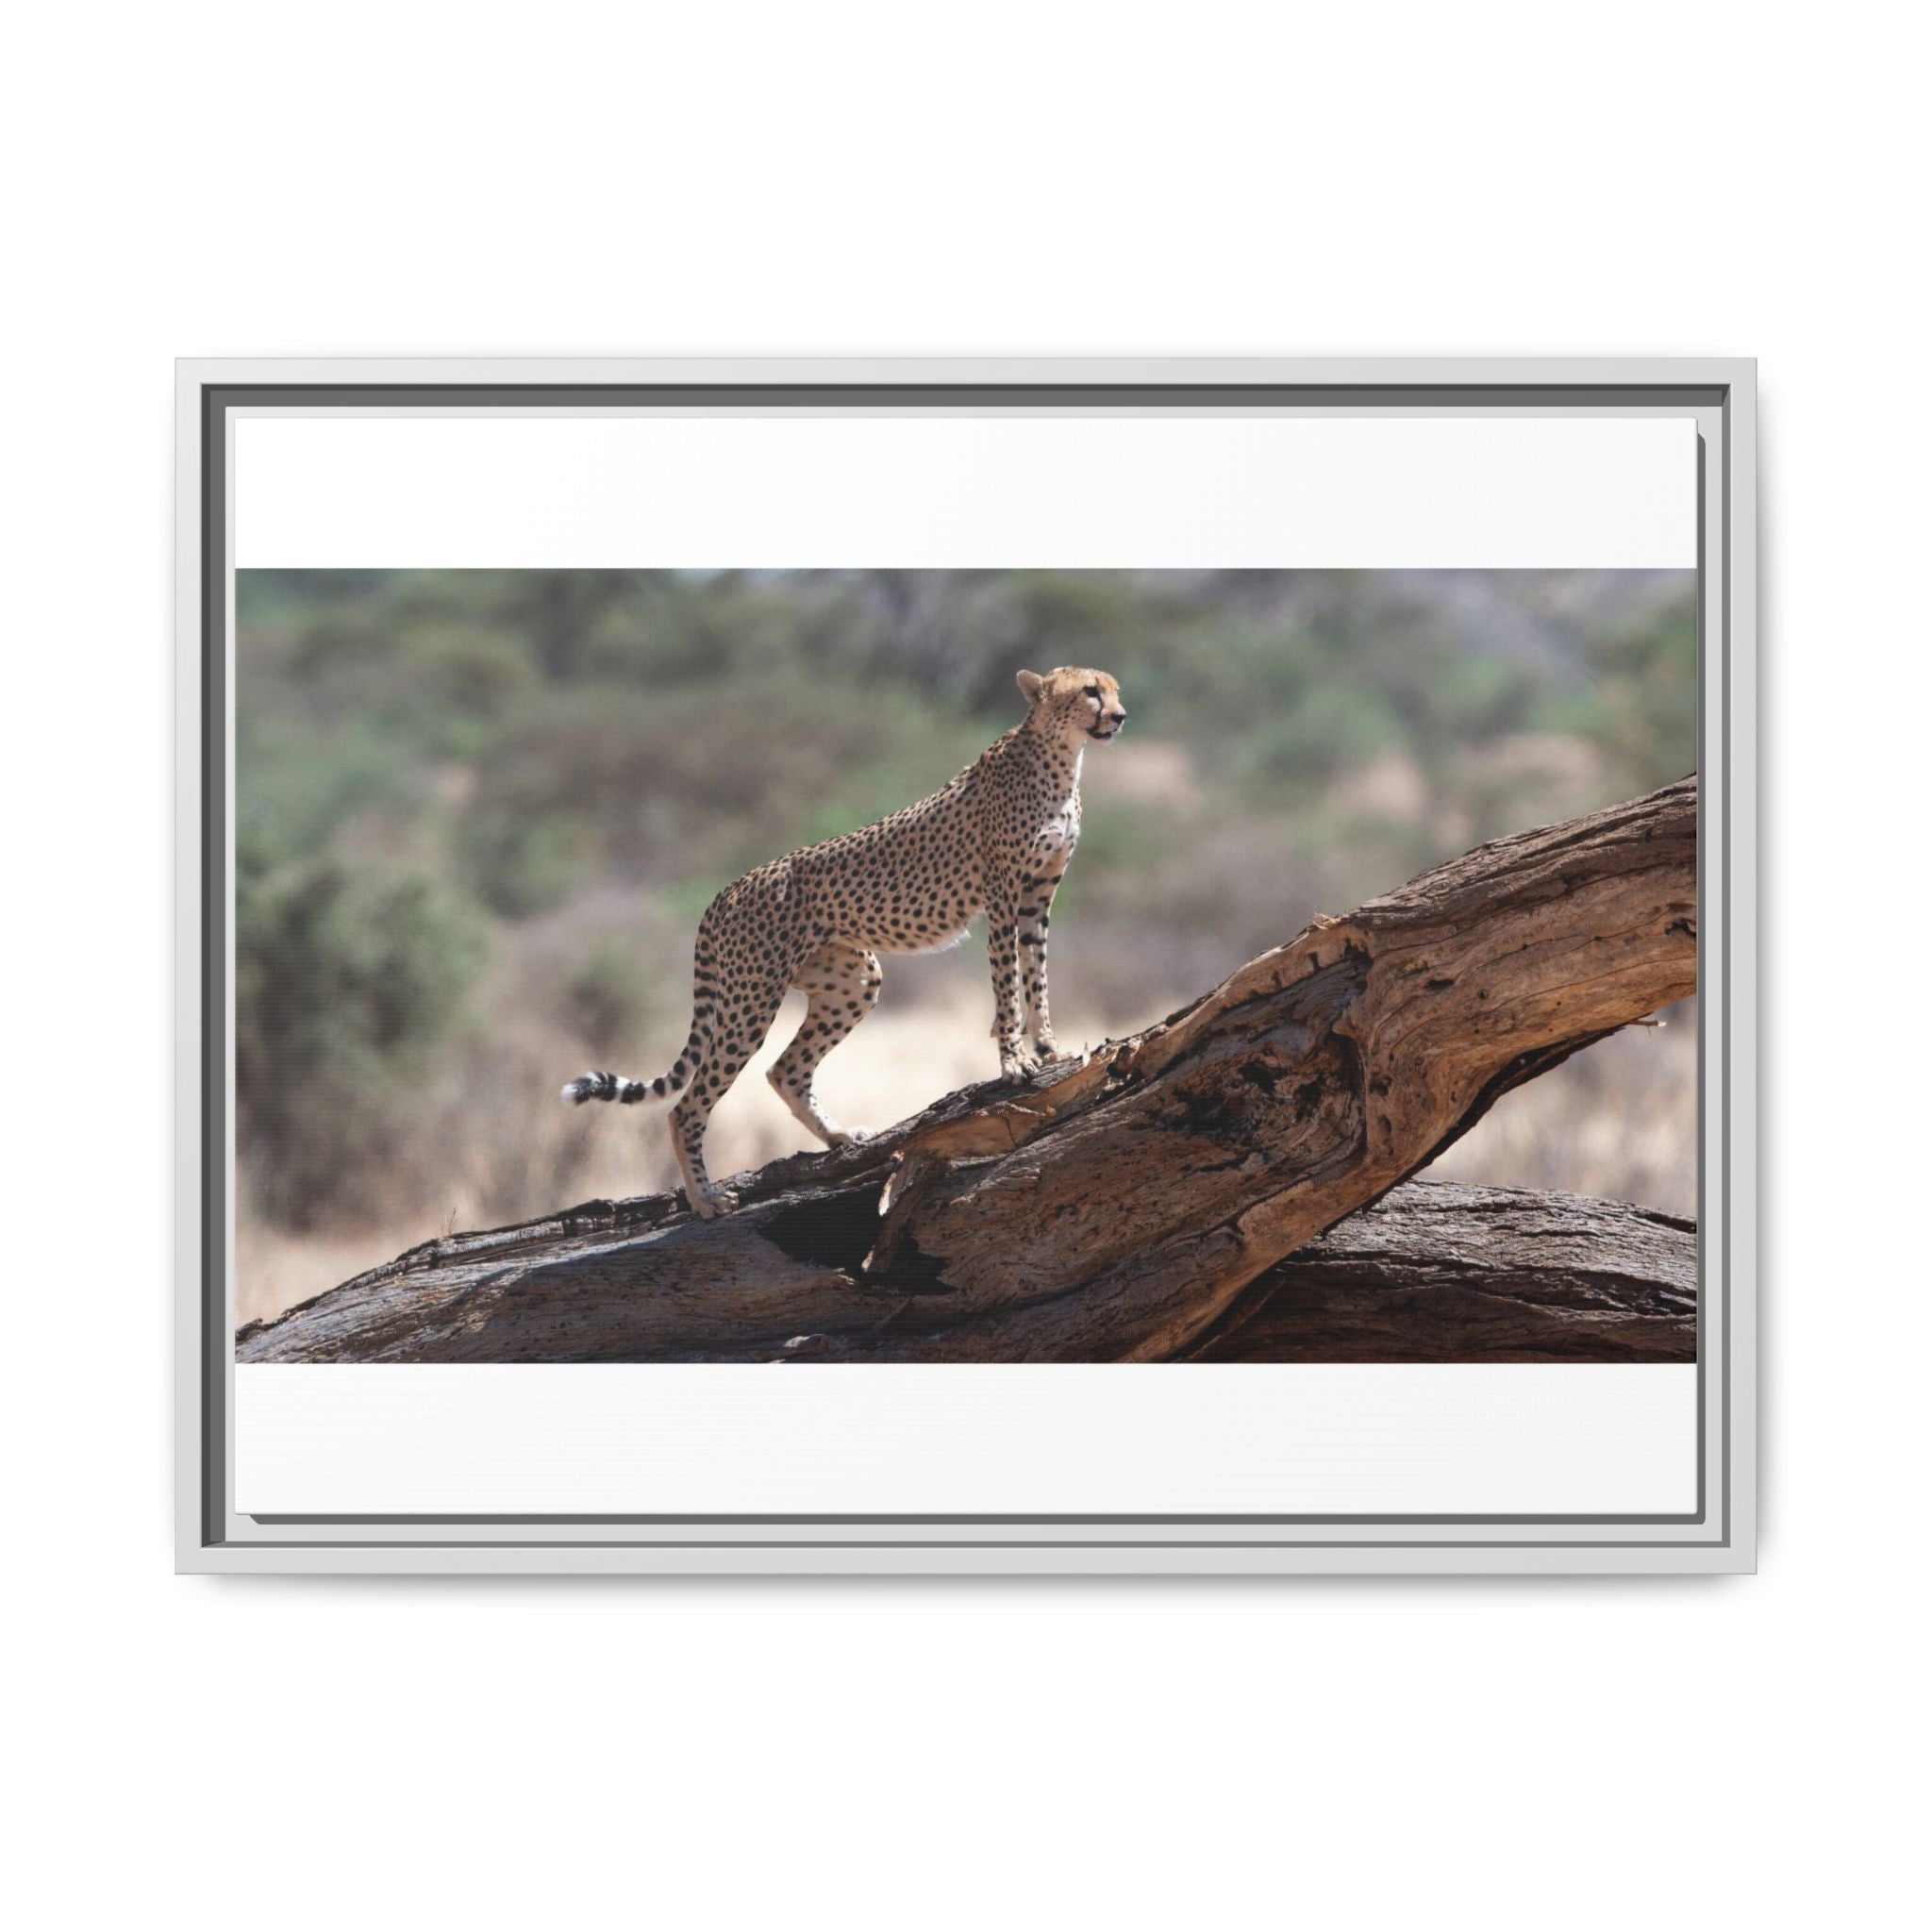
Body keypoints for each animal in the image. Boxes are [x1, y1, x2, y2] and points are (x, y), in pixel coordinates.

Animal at [561, 665, 1129, 1217]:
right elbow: (1008, 984)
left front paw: (1049, 1047)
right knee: (688, 1105)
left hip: (852, 979)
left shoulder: (1037, 897)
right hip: (751, 999)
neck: (1062, 757)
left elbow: (1036, 975)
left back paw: (838, 1137)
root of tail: (727, 889)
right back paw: (705, 1199)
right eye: (1089, 691)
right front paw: (1014, 1062)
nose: (1120, 716)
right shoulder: (1003, 896)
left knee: (785, 1070)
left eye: (1114, 689)